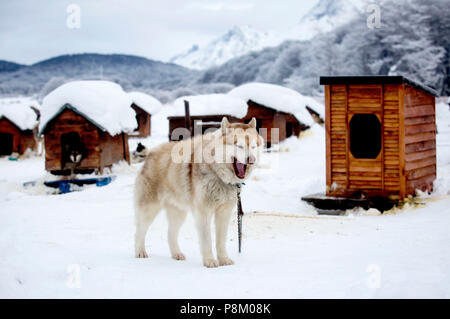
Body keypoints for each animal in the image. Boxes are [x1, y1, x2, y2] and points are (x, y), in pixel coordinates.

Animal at [134, 117, 264, 268]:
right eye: (240, 146)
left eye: (253, 147)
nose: (251, 160)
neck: (217, 173)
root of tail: (151, 153)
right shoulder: (204, 212)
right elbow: (207, 240)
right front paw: (210, 261)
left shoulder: (224, 213)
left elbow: (221, 241)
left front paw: (224, 259)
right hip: (149, 210)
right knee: (139, 231)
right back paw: (140, 252)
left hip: (179, 213)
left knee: (170, 233)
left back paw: (176, 254)